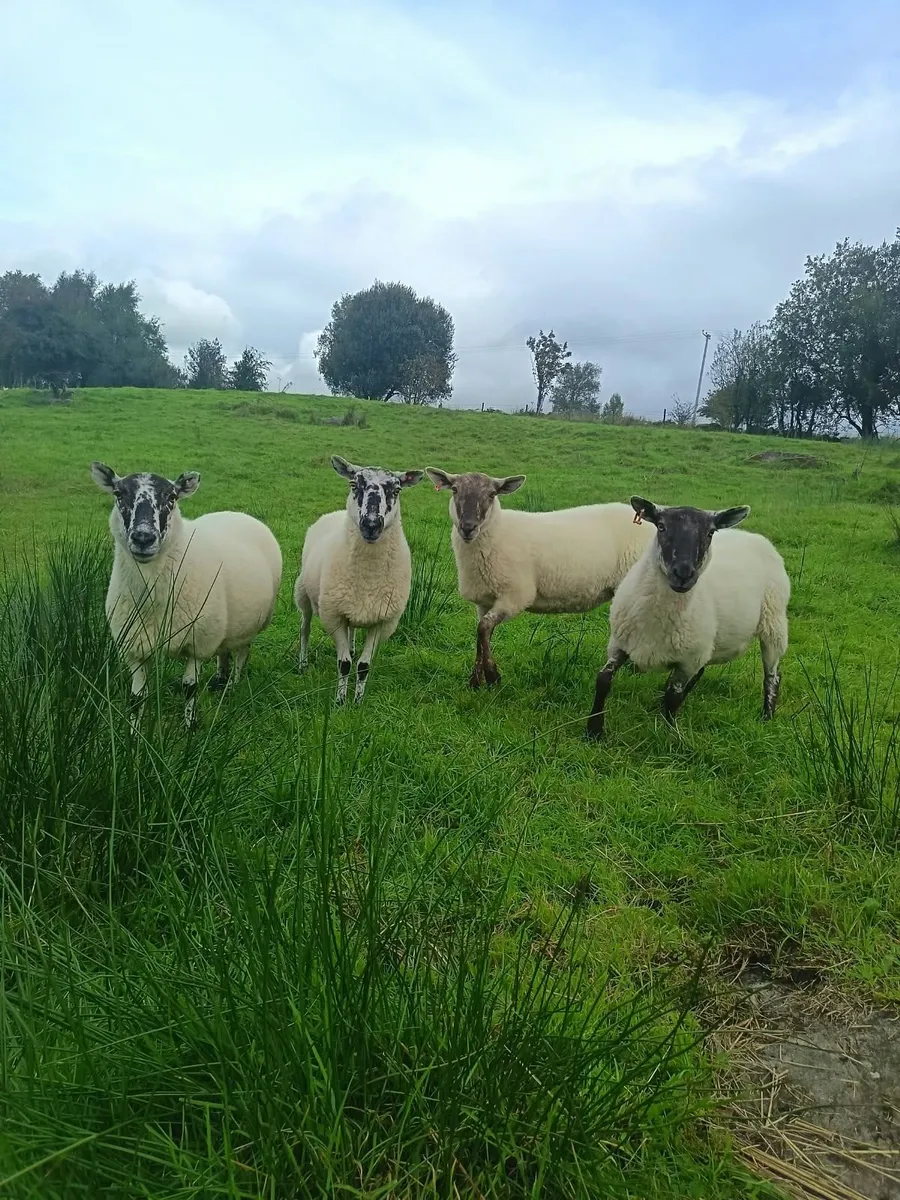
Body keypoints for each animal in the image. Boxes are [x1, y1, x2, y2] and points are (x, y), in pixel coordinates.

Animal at [91, 463, 282, 728]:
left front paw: (190, 727)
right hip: (223, 624)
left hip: (247, 624)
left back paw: (232, 686)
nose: (143, 538)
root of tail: (239, 514)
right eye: (119, 494)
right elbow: (137, 698)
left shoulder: (197, 644)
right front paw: (133, 732)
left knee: (242, 653)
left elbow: (189, 688)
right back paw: (220, 680)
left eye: (172, 497)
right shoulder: (134, 648)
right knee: (224, 650)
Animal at [294, 455, 424, 704]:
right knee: (305, 629)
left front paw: (358, 701)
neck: (368, 579)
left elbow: (363, 666)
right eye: (354, 484)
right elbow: (343, 664)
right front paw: (340, 701)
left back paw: (352, 649)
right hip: (304, 594)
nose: (371, 525)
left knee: (352, 631)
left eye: (397, 489)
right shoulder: (334, 616)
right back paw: (302, 663)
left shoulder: (382, 621)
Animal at [425, 468, 656, 687]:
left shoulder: (515, 596)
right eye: (455, 490)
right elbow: (482, 636)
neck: (498, 531)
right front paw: (476, 680)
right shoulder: (484, 601)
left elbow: (483, 629)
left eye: (492, 494)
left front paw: (492, 676)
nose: (468, 527)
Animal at [585, 496, 790, 738]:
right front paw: (594, 730)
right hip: (709, 640)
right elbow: (603, 680)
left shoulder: (688, 660)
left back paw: (767, 716)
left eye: (710, 532)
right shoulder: (619, 643)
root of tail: (755, 536)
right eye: (661, 526)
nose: (683, 574)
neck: (656, 620)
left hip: (774, 624)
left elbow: (673, 697)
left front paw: (669, 734)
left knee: (772, 675)